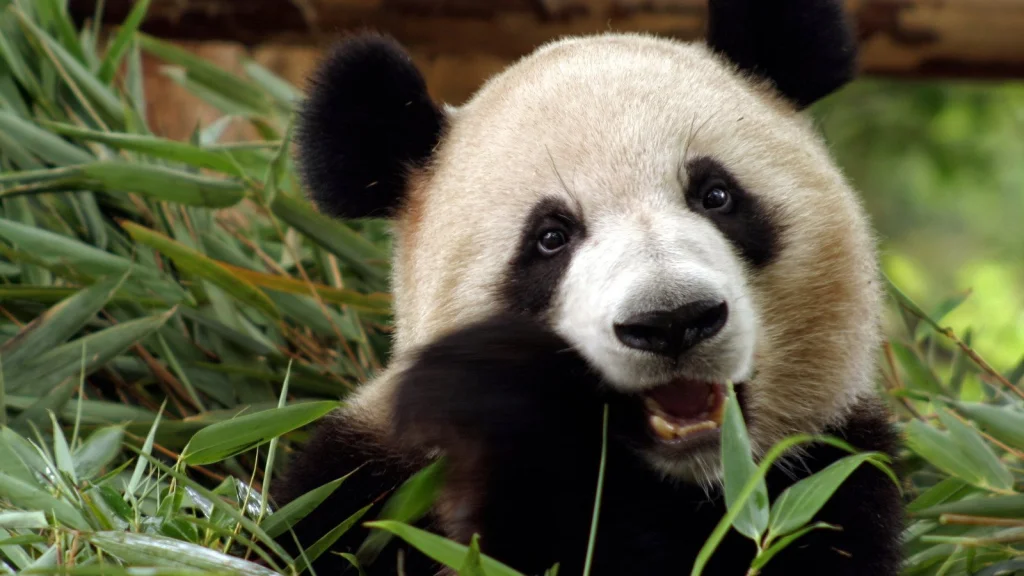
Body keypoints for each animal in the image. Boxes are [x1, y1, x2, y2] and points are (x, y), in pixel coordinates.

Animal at [273, 0, 904, 574]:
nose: (672, 320)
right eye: (551, 237)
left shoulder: (831, 474)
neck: (687, 482)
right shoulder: (366, 486)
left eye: (716, 195)